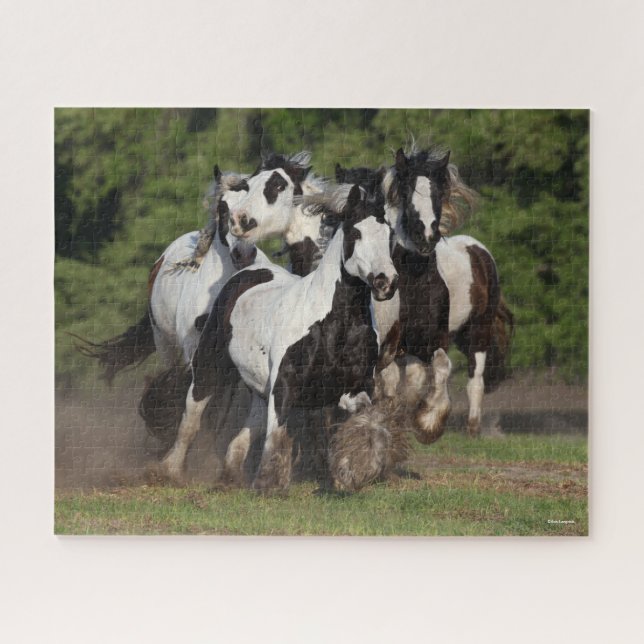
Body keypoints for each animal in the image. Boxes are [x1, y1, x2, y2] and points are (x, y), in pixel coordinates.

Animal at [164, 185, 399, 491]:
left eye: (389, 234)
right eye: (355, 233)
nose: (386, 282)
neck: (332, 326)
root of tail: (251, 271)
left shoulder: (358, 386)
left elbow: (364, 424)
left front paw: (352, 472)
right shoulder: (285, 385)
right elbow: (277, 435)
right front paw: (269, 484)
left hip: (259, 386)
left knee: (248, 426)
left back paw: (230, 475)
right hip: (209, 367)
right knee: (191, 419)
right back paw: (168, 471)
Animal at [337, 147, 514, 436]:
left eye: (438, 193)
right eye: (407, 191)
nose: (427, 237)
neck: (413, 281)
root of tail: (479, 252)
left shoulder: (431, 339)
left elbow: (435, 372)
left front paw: (427, 420)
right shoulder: (395, 344)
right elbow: (394, 382)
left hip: (479, 328)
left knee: (475, 378)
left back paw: (473, 427)